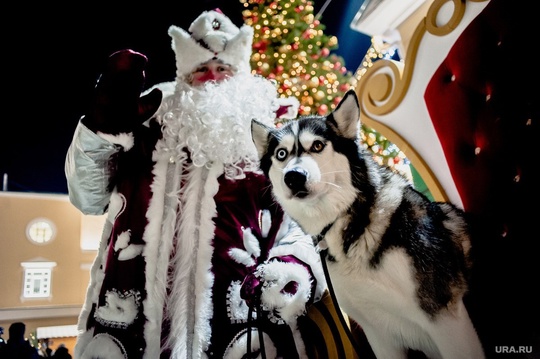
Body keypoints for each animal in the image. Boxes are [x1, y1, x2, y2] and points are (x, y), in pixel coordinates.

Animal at [252, 90, 486, 359]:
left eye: (318, 145)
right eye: (281, 154)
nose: (294, 177)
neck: (354, 221)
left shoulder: (445, 319)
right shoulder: (378, 334)